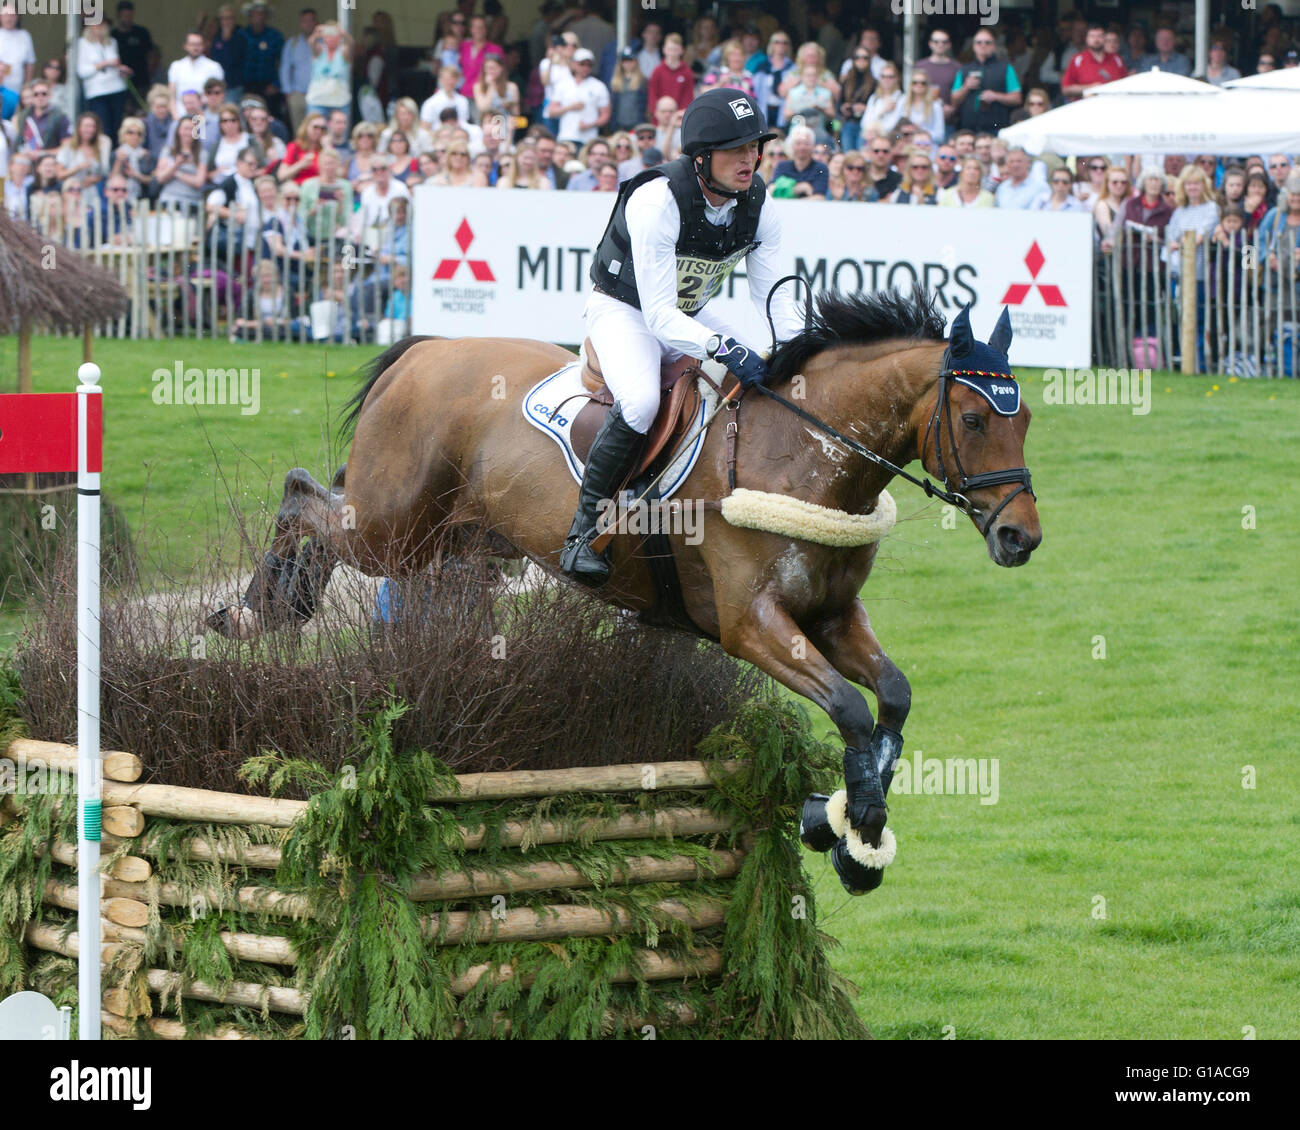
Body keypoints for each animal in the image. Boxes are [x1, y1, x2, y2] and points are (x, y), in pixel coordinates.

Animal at [213, 288, 1045, 889]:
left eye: (1027, 418)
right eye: (974, 419)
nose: (1021, 537)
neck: (801, 456)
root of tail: (429, 350)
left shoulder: (834, 616)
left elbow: (892, 699)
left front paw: (855, 835)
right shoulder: (752, 624)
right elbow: (848, 709)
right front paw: (845, 826)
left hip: (454, 538)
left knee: (328, 502)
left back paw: (267, 605)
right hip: (394, 529)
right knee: (304, 497)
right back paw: (255, 611)